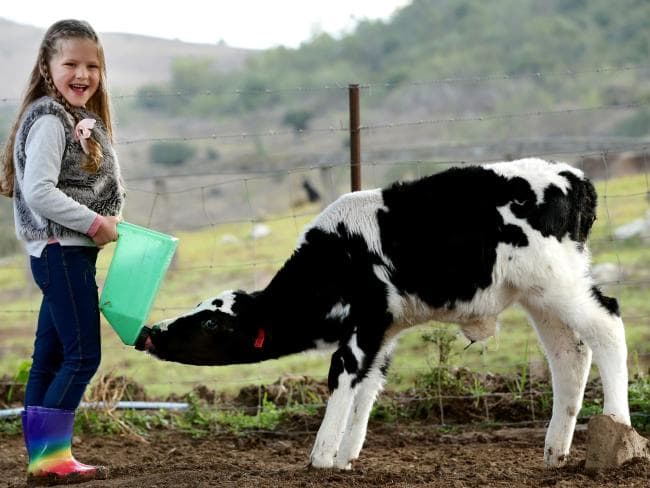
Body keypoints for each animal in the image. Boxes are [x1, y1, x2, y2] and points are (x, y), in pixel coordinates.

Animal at [140, 159, 628, 468]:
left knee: (607, 326)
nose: (150, 332)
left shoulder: (364, 323)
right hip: (539, 297)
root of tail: (574, 176)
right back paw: (555, 452)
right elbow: (368, 385)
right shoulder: (384, 330)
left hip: (558, 283)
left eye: (211, 321)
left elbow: (341, 375)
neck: (334, 258)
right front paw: (345, 457)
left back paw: (617, 428)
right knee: (569, 355)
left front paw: (321, 457)